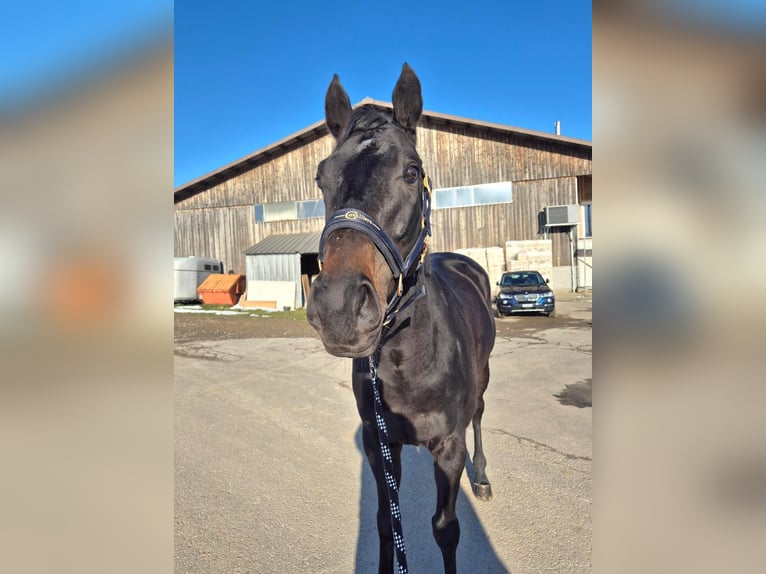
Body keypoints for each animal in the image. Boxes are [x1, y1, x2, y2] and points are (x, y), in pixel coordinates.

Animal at [306, 63, 498, 574]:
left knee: (480, 413)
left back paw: (483, 477)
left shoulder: (448, 449)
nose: (339, 308)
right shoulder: (379, 443)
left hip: (484, 376)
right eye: (321, 178)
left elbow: (445, 529)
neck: (407, 358)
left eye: (412, 172)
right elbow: (385, 523)